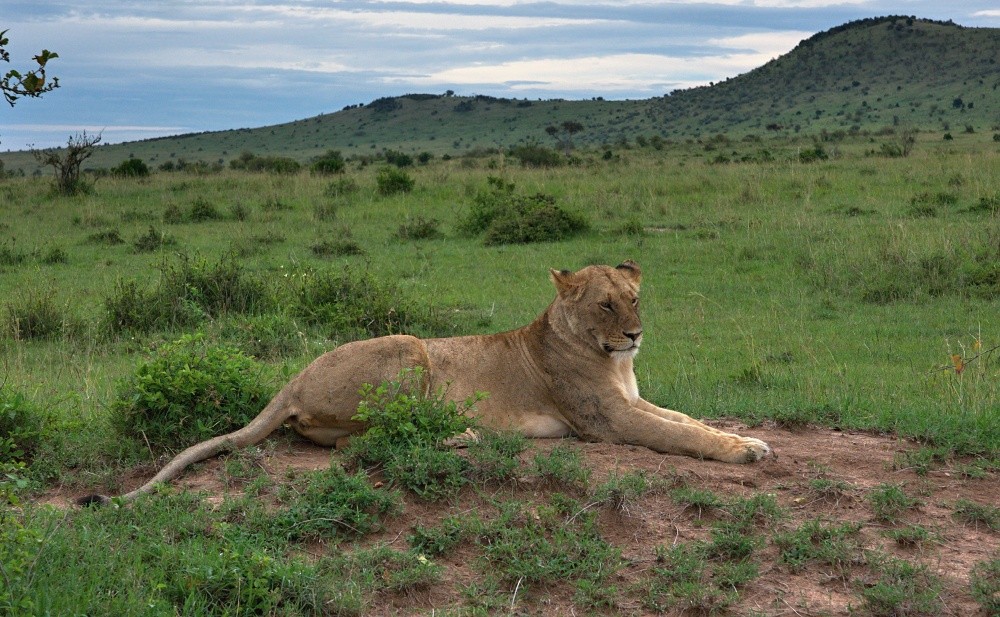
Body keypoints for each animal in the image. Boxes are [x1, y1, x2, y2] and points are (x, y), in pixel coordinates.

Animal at [80, 260, 770, 505]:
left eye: (634, 298)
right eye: (605, 305)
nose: (635, 333)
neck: (612, 360)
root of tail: (292, 381)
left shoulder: (634, 400)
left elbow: (687, 420)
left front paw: (752, 441)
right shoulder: (606, 421)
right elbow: (682, 437)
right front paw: (740, 452)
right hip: (409, 348)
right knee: (364, 443)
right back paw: (464, 438)